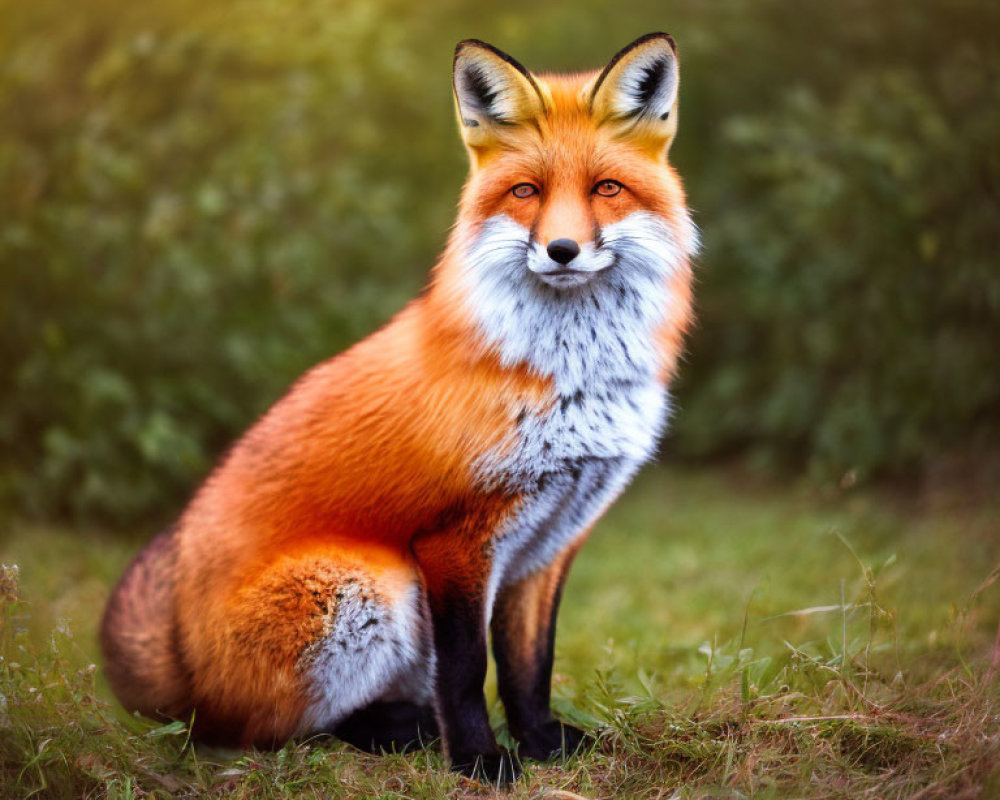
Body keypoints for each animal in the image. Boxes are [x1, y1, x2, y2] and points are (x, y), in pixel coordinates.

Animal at [101, 34, 696, 784]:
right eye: (526, 191)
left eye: (605, 189)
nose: (561, 250)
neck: (570, 379)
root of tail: (183, 674)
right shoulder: (456, 540)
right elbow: (468, 670)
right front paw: (479, 761)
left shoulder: (551, 541)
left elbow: (529, 666)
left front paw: (540, 745)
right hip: (370, 586)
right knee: (269, 733)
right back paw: (401, 732)